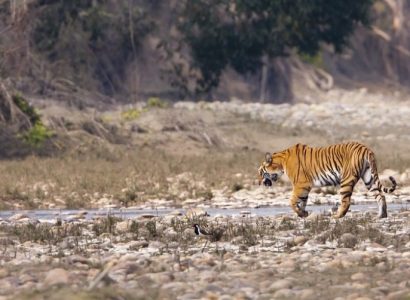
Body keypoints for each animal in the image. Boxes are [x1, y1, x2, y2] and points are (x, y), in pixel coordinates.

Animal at [260, 142, 398, 219]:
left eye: (261, 172)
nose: (260, 182)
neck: (281, 162)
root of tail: (365, 148)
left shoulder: (301, 184)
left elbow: (292, 201)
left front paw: (301, 213)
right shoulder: (304, 187)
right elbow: (302, 201)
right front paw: (303, 214)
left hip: (346, 180)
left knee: (346, 202)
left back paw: (337, 216)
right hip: (369, 178)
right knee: (381, 196)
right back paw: (381, 216)